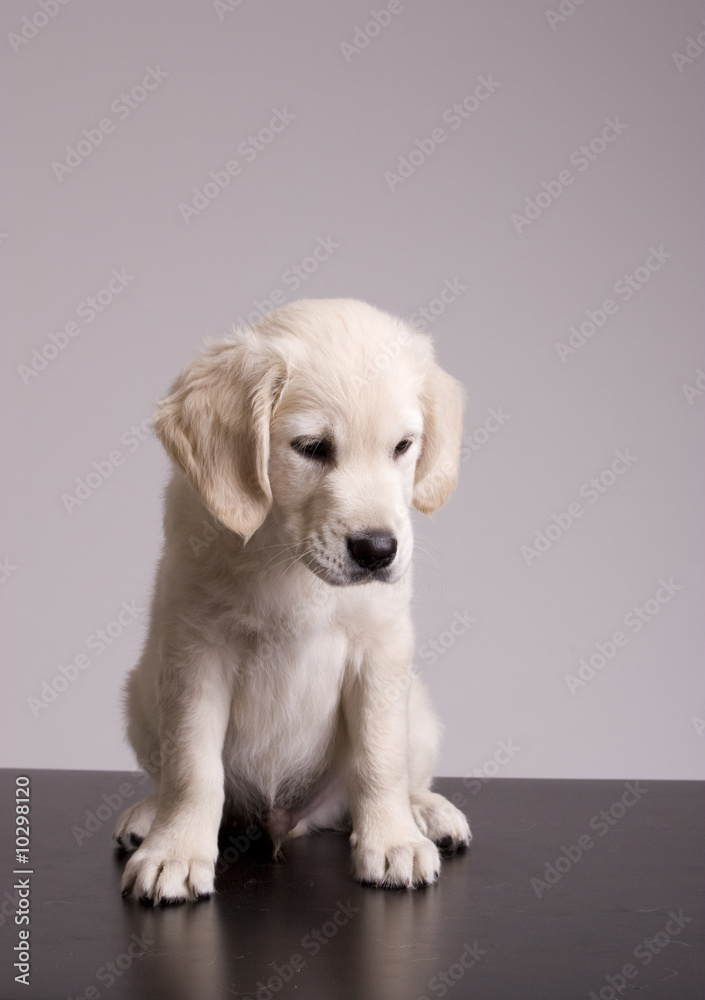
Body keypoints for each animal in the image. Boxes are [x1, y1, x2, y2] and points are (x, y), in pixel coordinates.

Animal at [115, 298, 470, 908]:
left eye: (403, 447)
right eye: (311, 448)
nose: (378, 550)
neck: (287, 559)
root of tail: (287, 821)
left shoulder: (380, 650)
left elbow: (380, 760)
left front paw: (393, 841)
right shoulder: (195, 652)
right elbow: (192, 769)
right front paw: (174, 851)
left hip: (419, 710)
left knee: (402, 775)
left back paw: (427, 812)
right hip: (141, 693)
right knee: (170, 778)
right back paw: (148, 816)